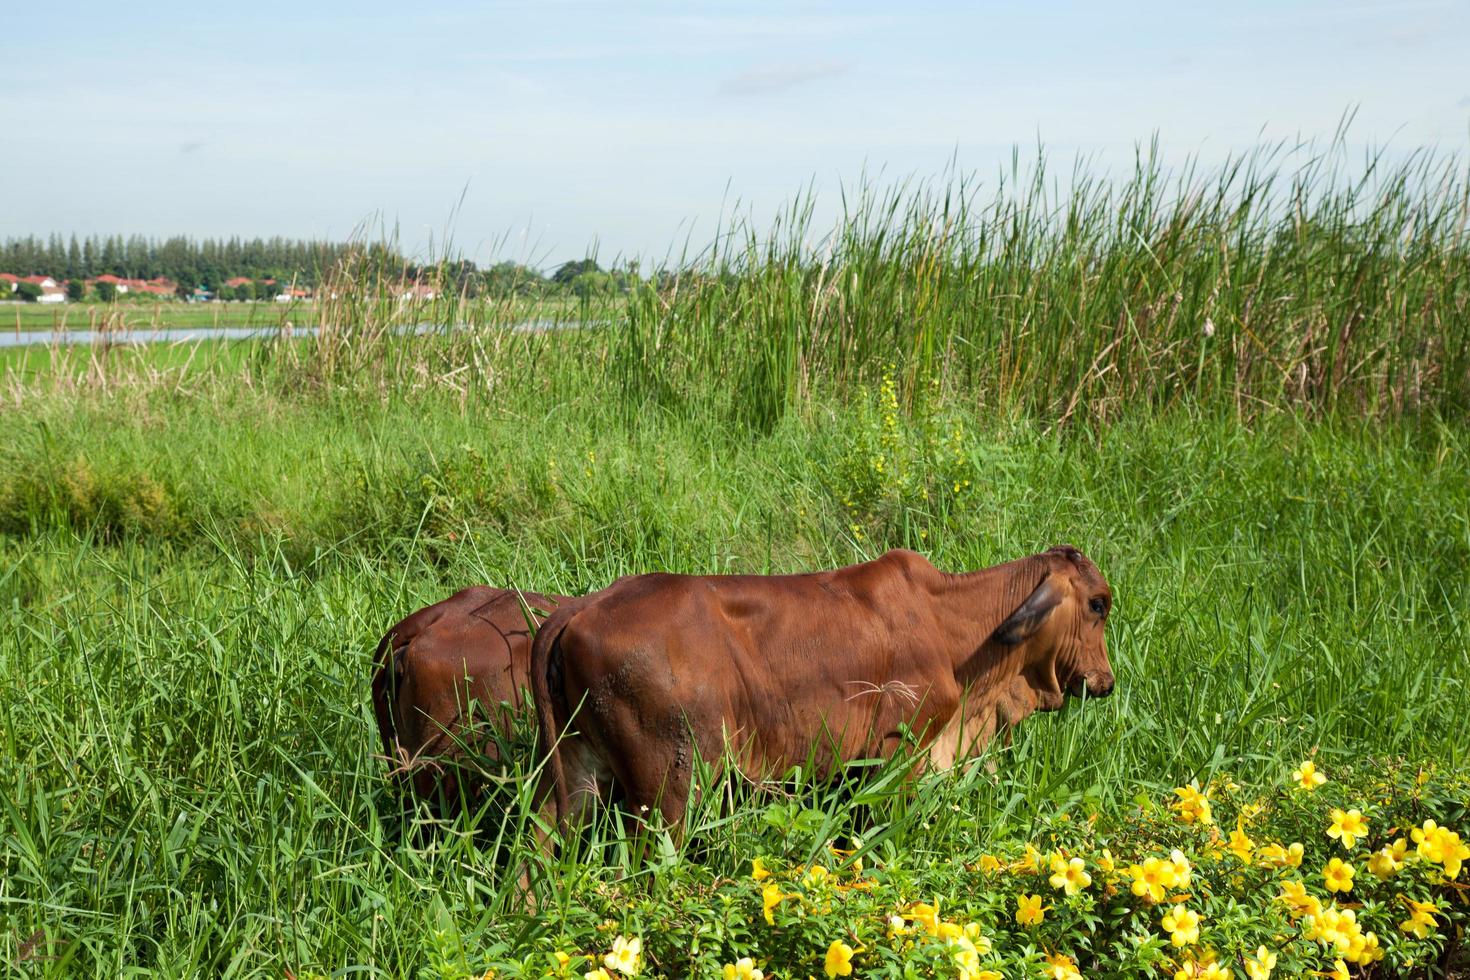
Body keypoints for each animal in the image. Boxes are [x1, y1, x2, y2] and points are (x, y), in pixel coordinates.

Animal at [529, 549, 1111, 834]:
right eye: (1099, 604)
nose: (1105, 681)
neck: (948, 625)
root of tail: (583, 607)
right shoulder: (898, 757)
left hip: (573, 779)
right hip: (669, 788)